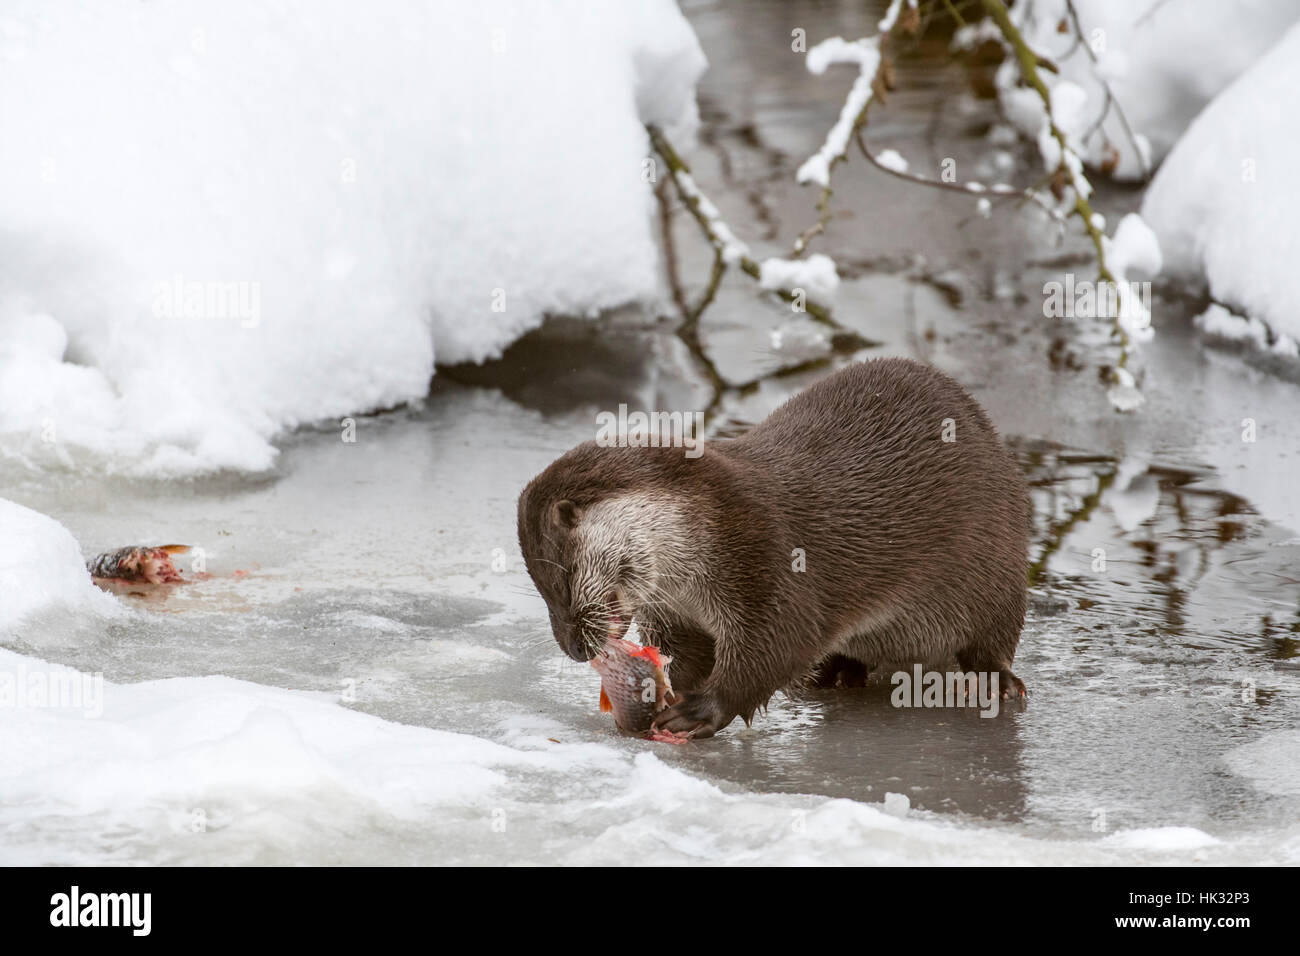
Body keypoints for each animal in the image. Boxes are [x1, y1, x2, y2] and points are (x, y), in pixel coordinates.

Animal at [512, 356, 1029, 738]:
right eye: (541, 588)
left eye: (561, 580)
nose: (573, 649)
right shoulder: (675, 610)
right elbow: (692, 656)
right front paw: (660, 693)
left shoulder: (772, 562)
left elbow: (779, 645)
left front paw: (699, 710)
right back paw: (835, 672)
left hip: (999, 568)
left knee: (995, 637)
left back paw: (997, 683)